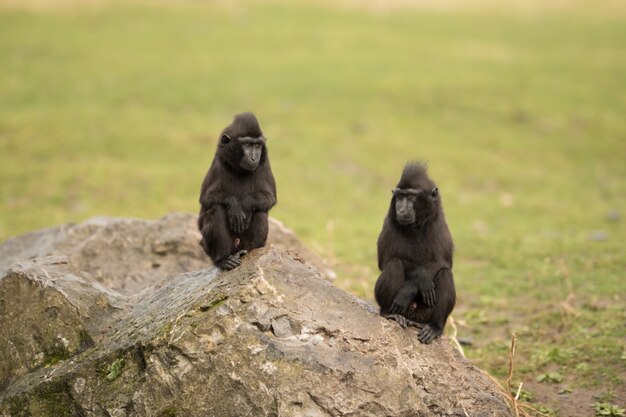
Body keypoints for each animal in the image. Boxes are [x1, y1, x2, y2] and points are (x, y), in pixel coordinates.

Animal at [197, 112, 276, 272]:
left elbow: (270, 197)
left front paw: (246, 204)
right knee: (217, 210)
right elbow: (206, 198)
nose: (254, 157)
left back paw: (251, 252)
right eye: (246, 144)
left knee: (259, 212)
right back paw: (224, 259)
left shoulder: (264, 163)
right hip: (208, 246)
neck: (240, 170)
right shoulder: (217, 164)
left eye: (257, 145)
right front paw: (234, 206)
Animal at [372, 161, 456, 342]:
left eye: (410, 197)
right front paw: (418, 281)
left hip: (424, 313)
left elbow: (444, 262)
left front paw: (415, 283)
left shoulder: (438, 224)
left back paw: (434, 327)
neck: (415, 227)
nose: (401, 210)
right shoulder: (389, 222)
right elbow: (385, 260)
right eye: (399, 197)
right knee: (394, 264)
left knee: (444, 273)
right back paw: (389, 314)